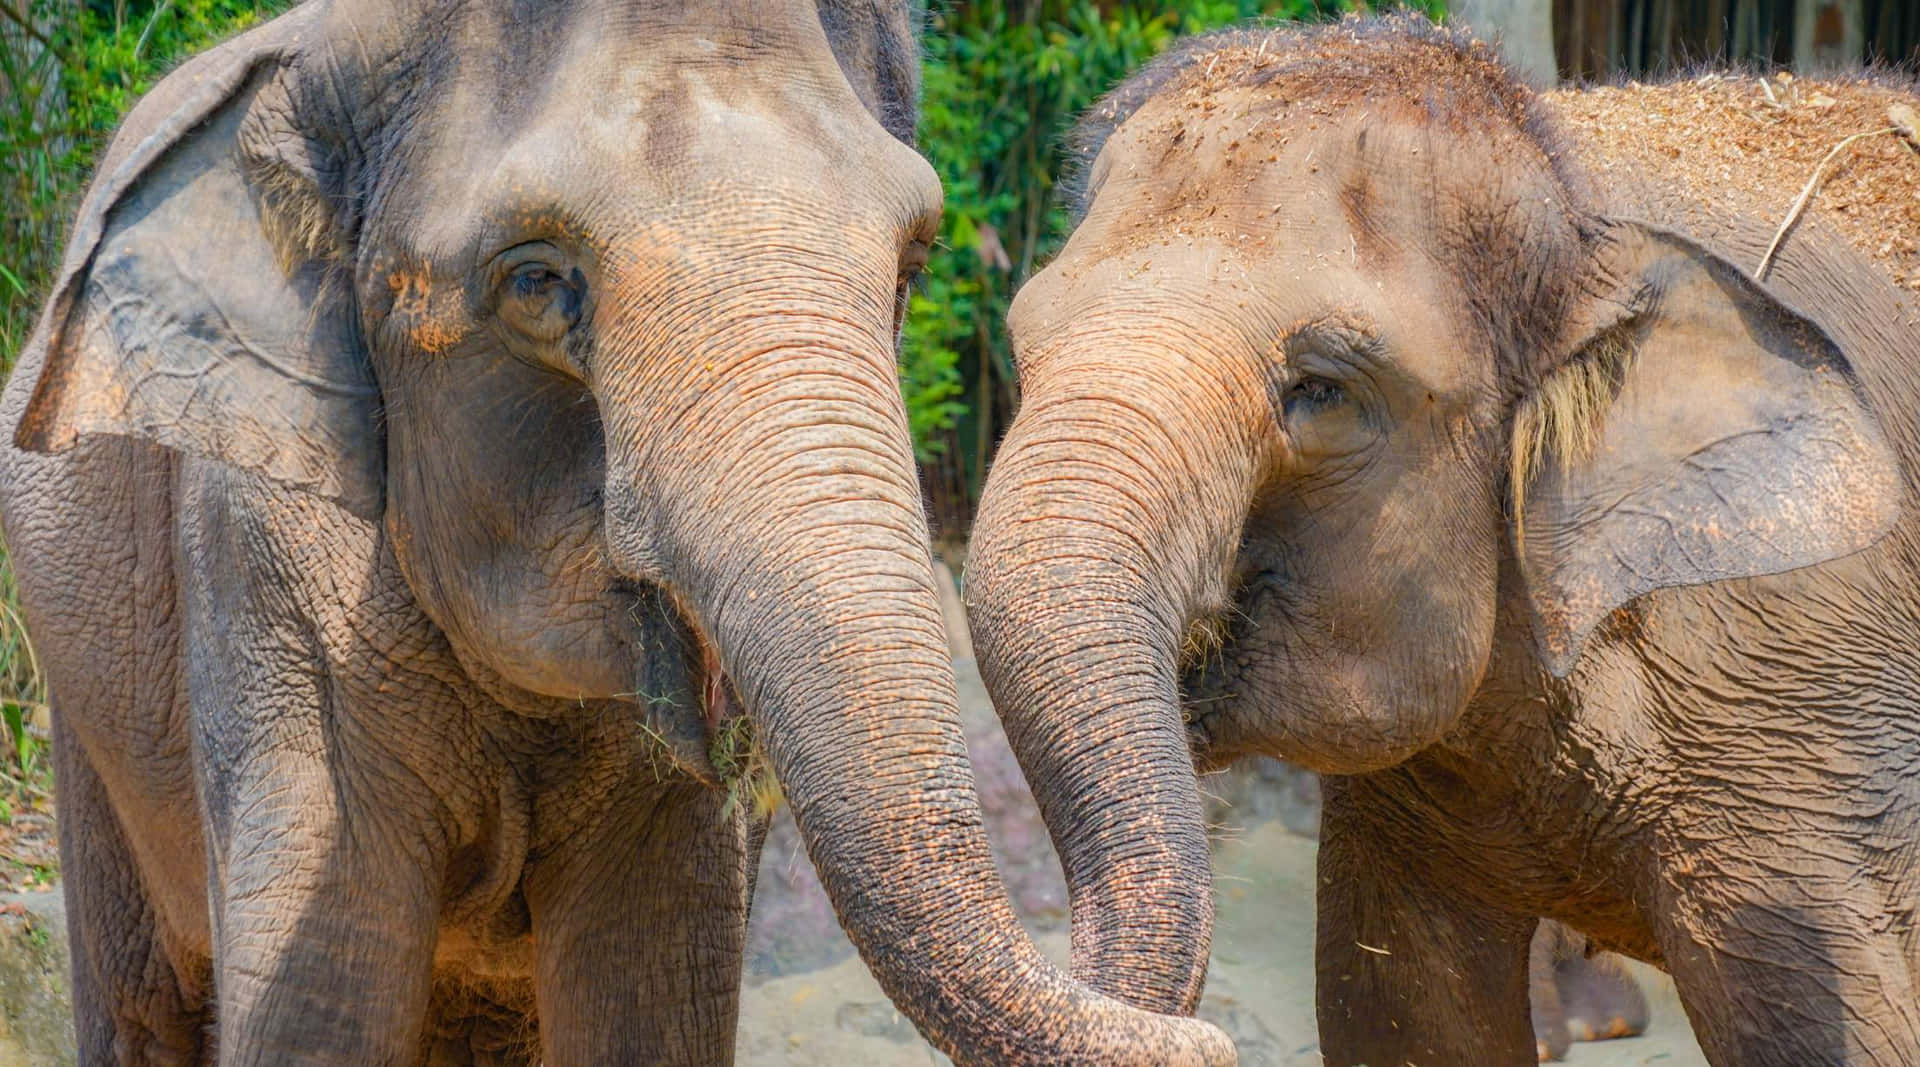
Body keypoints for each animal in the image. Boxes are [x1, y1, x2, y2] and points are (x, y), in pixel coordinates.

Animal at [0, 4, 1228, 1059]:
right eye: (538, 281)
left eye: (912, 261)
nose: (1213, 1039)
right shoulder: (267, 576)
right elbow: (321, 998)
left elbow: (655, 984)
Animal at [967, 16, 1920, 1067]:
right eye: (1023, 349)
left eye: (1321, 389)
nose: (1206, 1035)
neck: (1576, 196)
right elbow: (1407, 1014)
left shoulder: (1800, 713)